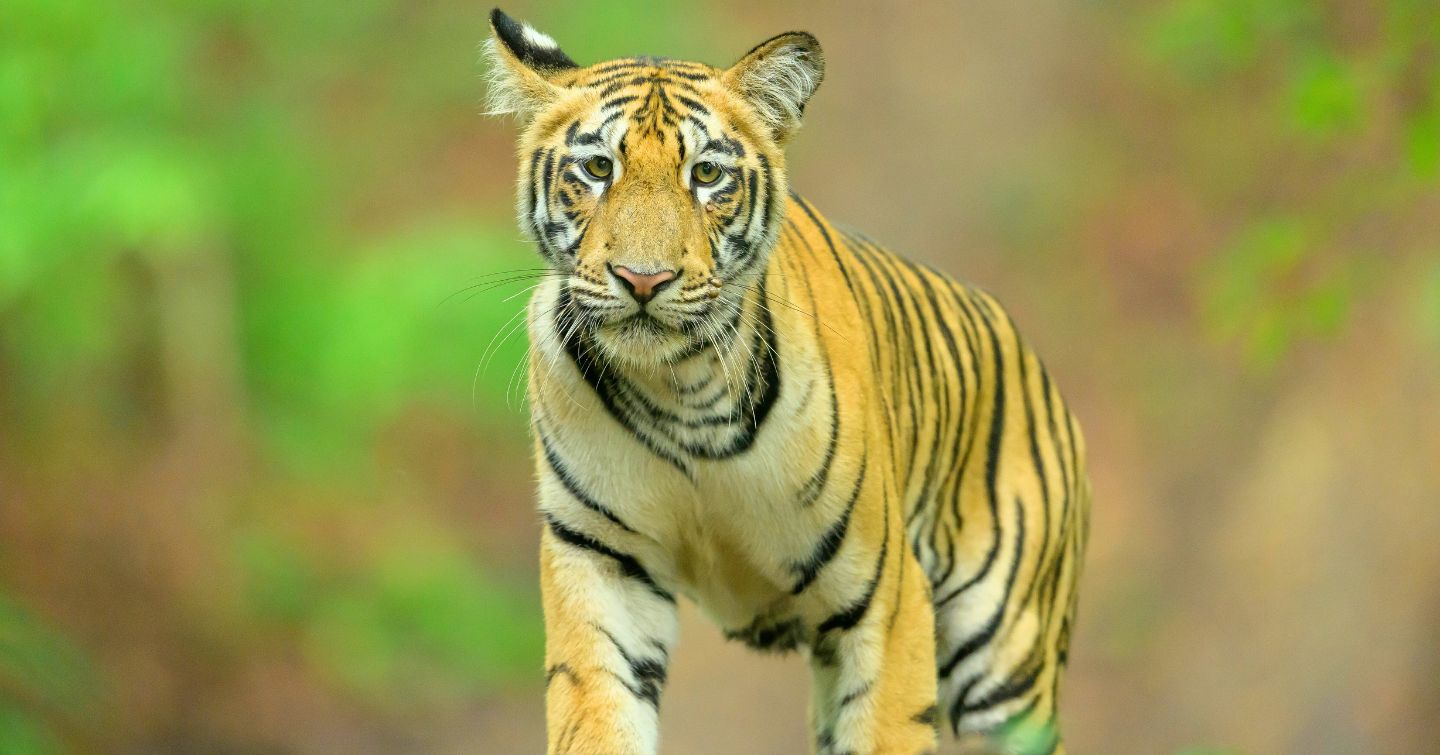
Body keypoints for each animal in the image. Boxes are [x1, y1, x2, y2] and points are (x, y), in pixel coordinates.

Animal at [483, 8, 1091, 754]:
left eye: (706, 174)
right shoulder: (599, 562)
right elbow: (597, 716)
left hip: (1006, 662)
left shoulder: (886, 598)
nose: (643, 280)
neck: (679, 388)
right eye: (598, 168)